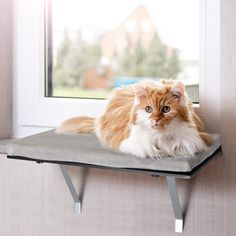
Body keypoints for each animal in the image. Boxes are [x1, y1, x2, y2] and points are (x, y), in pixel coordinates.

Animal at [56, 79, 211, 159]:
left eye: (166, 109)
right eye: (148, 109)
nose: (155, 120)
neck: (161, 136)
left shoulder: (197, 139)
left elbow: (181, 147)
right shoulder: (130, 143)